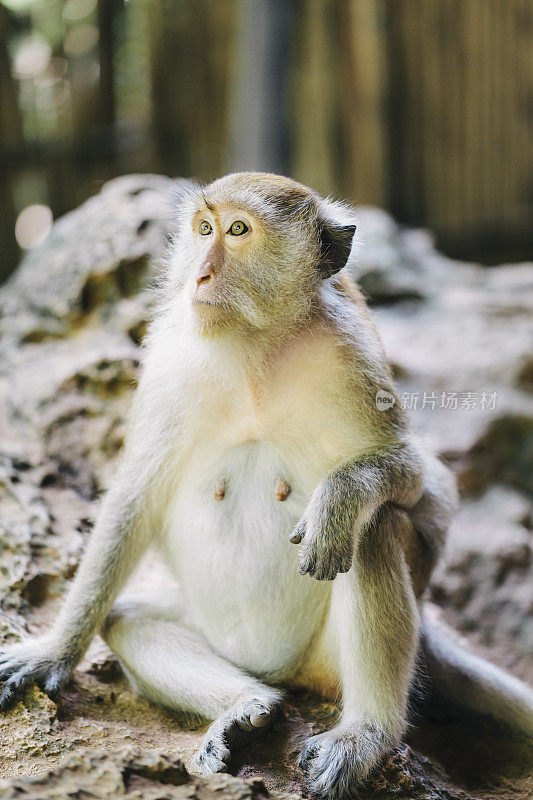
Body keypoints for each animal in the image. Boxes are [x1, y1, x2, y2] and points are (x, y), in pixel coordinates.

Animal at [1, 175, 532, 800]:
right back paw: (245, 703)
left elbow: (414, 474)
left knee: (374, 531)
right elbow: (134, 500)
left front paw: (340, 497)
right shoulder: (169, 361)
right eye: (204, 229)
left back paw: (366, 735)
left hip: (327, 664)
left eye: (238, 231)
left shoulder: (351, 355)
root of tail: (287, 673)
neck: (254, 349)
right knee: (129, 621)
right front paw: (53, 651)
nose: (201, 276)